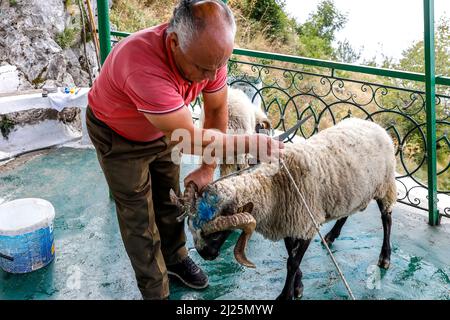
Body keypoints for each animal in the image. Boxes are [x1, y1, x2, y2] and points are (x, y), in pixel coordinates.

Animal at [171, 117, 398, 300]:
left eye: (217, 234)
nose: (205, 255)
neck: (273, 186)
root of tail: (374, 125)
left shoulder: (306, 224)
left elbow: (293, 262)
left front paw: (286, 294)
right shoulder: (290, 222)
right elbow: (291, 255)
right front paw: (298, 286)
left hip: (385, 184)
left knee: (387, 218)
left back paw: (385, 258)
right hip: (354, 190)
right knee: (346, 213)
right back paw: (331, 236)